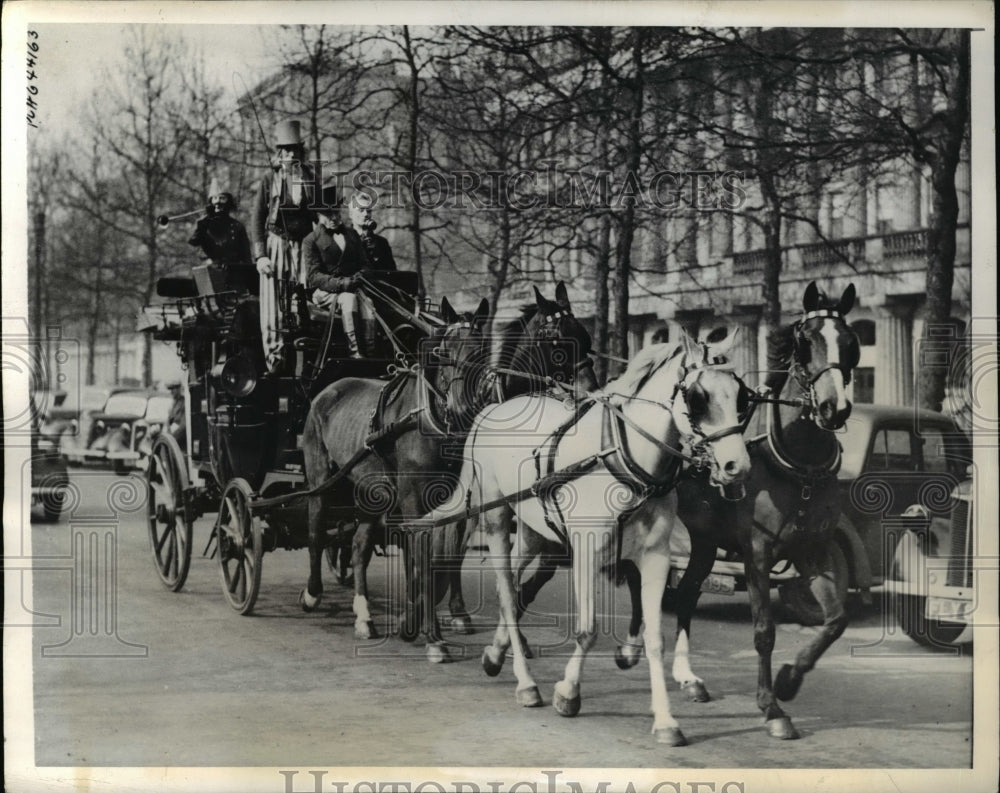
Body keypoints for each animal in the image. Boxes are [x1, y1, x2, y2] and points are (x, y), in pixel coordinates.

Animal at [412, 332, 752, 744]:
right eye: (698, 397)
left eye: (741, 395)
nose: (737, 467)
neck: (623, 459)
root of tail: (490, 412)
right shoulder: (587, 550)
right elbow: (587, 630)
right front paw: (568, 692)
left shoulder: (655, 557)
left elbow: (655, 638)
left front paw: (666, 721)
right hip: (495, 517)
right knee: (507, 594)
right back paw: (526, 683)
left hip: (534, 529)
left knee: (513, 584)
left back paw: (495, 654)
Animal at [616, 282, 860, 740]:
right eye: (806, 342)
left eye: (851, 343)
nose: (834, 408)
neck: (798, 469)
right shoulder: (758, 555)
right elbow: (764, 631)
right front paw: (771, 707)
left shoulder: (813, 552)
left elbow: (836, 620)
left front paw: (789, 679)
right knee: (637, 579)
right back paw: (632, 646)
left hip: (704, 542)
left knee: (688, 591)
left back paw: (688, 677)